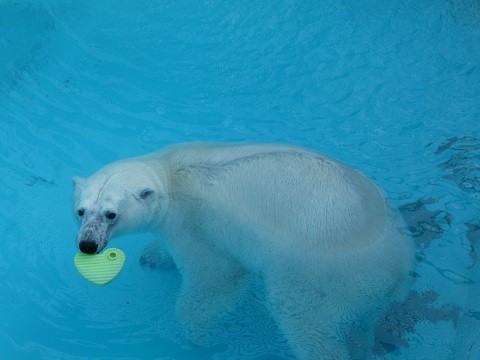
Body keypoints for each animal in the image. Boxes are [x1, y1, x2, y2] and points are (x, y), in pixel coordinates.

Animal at [73, 142, 414, 358]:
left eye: (111, 214)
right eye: (81, 211)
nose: (87, 244)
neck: (172, 173)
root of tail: (398, 262)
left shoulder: (195, 221)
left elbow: (217, 275)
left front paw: (197, 336)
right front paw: (153, 256)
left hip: (316, 276)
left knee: (305, 320)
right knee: (365, 320)